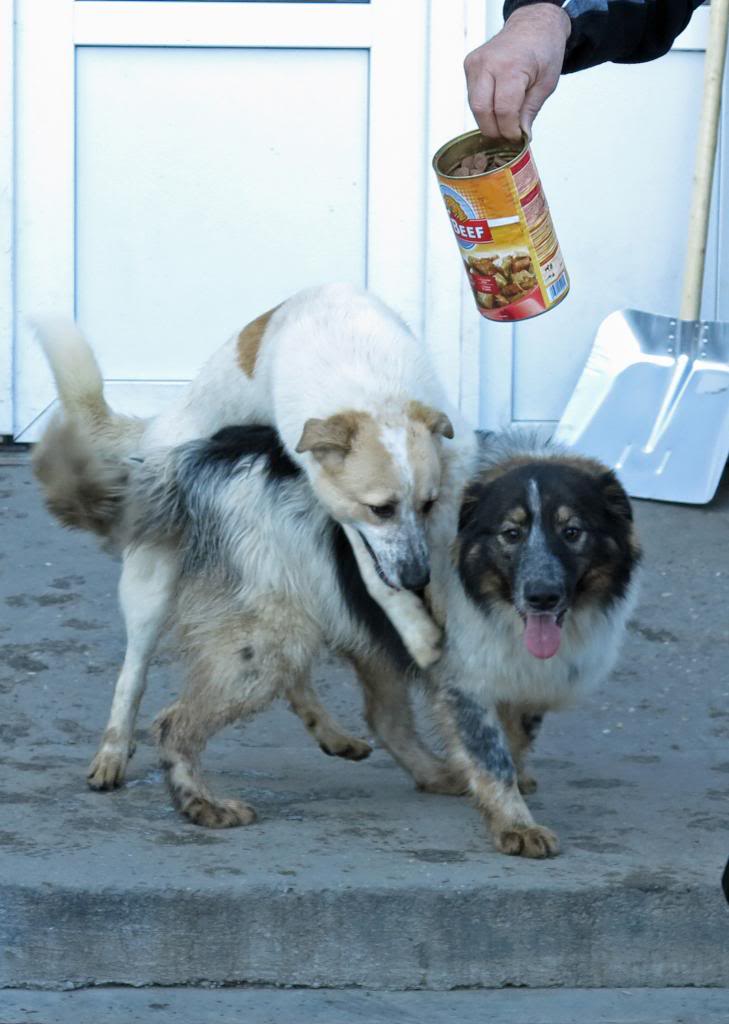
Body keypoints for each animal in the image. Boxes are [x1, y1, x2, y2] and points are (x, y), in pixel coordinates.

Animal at [34, 284, 458, 786]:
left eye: (428, 504)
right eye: (380, 509)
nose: (416, 579)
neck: (369, 386)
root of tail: (160, 425)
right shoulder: (344, 509)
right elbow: (375, 574)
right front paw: (418, 631)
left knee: (288, 668)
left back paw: (331, 732)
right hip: (151, 588)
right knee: (132, 672)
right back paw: (114, 749)